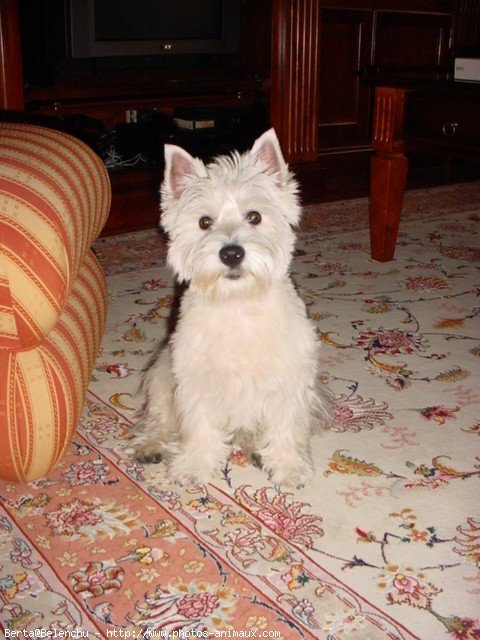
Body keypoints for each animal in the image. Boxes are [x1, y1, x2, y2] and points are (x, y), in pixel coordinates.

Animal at [128, 129, 330, 484]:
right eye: (204, 222)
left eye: (255, 216)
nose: (231, 253)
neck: (238, 303)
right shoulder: (196, 379)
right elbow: (198, 426)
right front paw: (194, 467)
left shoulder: (289, 378)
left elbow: (286, 425)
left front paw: (289, 467)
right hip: (163, 373)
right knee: (161, 418)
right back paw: (151, 446)